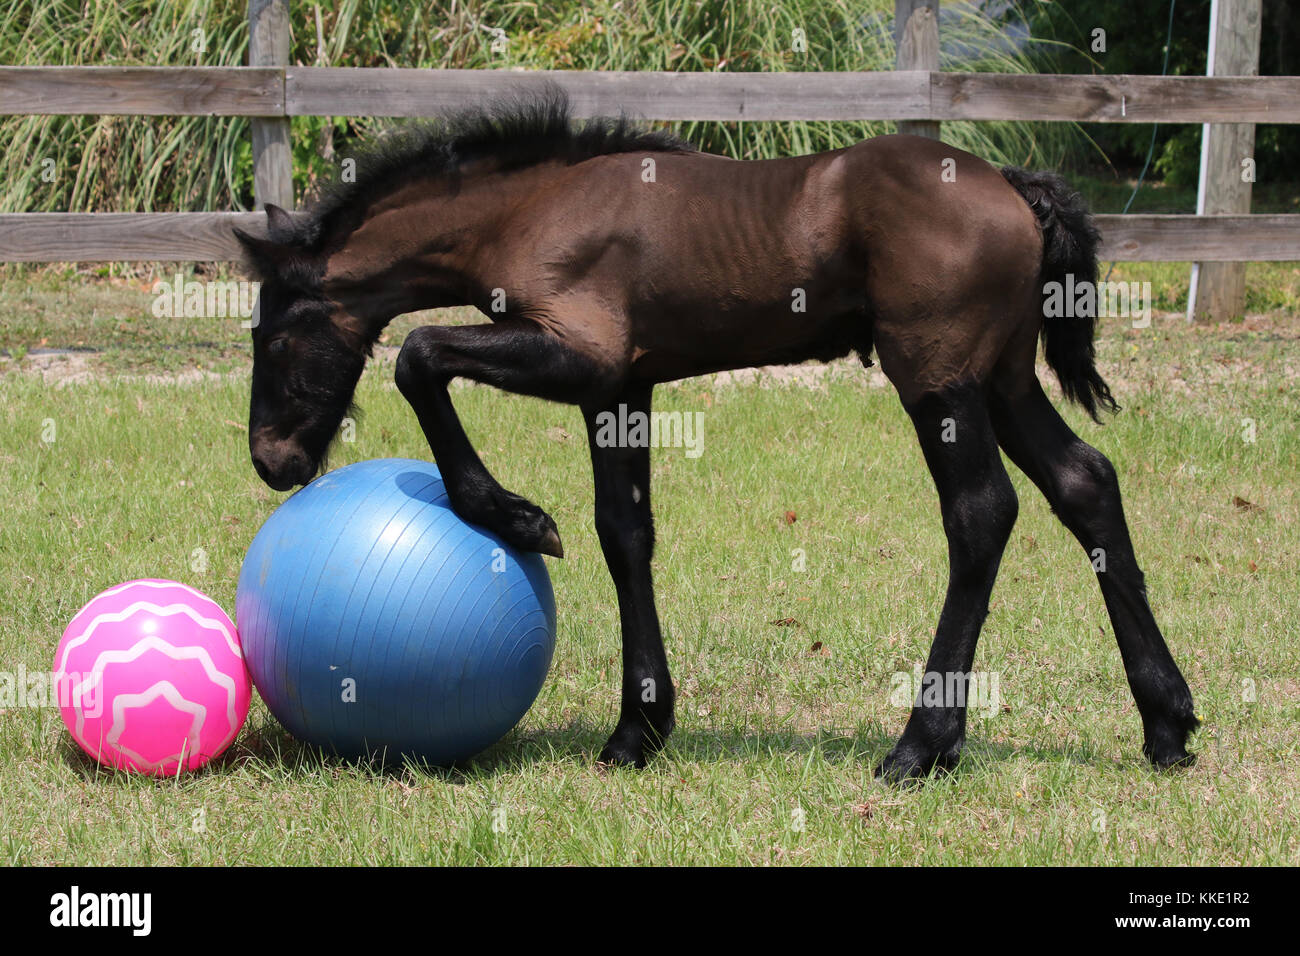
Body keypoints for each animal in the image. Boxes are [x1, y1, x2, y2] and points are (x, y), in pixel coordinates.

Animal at [234, 89, 1199, 782]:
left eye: (275, 338)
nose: (273, 462)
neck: (535, 204)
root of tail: (1011, 186)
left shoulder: (578, 356)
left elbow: (419, 356)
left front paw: (514, 517)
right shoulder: (619, 388)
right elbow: (625, 536)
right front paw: (639, 729)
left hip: (941, 380)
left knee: (982, 513)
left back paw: (922, 744)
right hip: (1003, 379)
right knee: (1084, 481)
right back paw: (1167, 724)